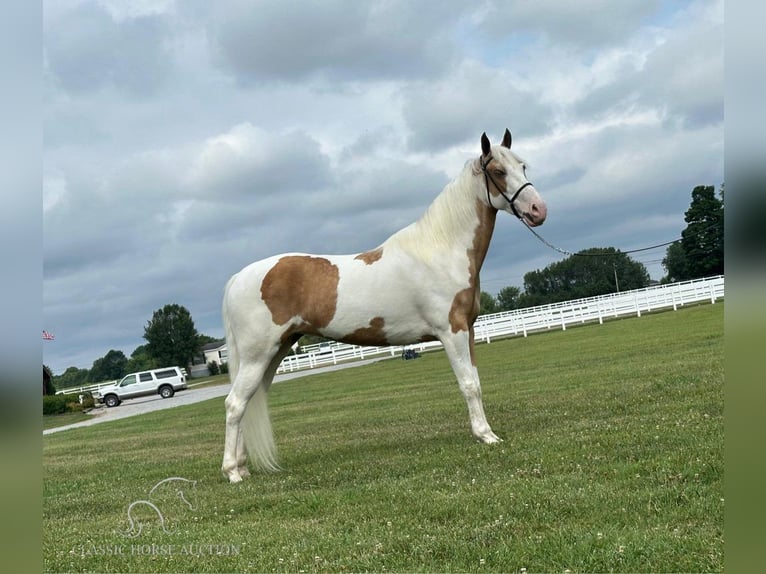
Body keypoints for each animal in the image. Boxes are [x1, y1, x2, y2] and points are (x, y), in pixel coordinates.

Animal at [219, 128, 548, 484]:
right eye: (499, 171)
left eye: (523, 166)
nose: (538, 210)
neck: (442, 249)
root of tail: (237, 278)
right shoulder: (453, 331)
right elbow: (469, 384)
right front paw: (485, 435)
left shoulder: (469, 331)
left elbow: (476, 380)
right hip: (258, 355)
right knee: (235, 404)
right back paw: (232, 472)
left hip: (274, 353)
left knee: (248, 402)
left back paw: (241, 466)